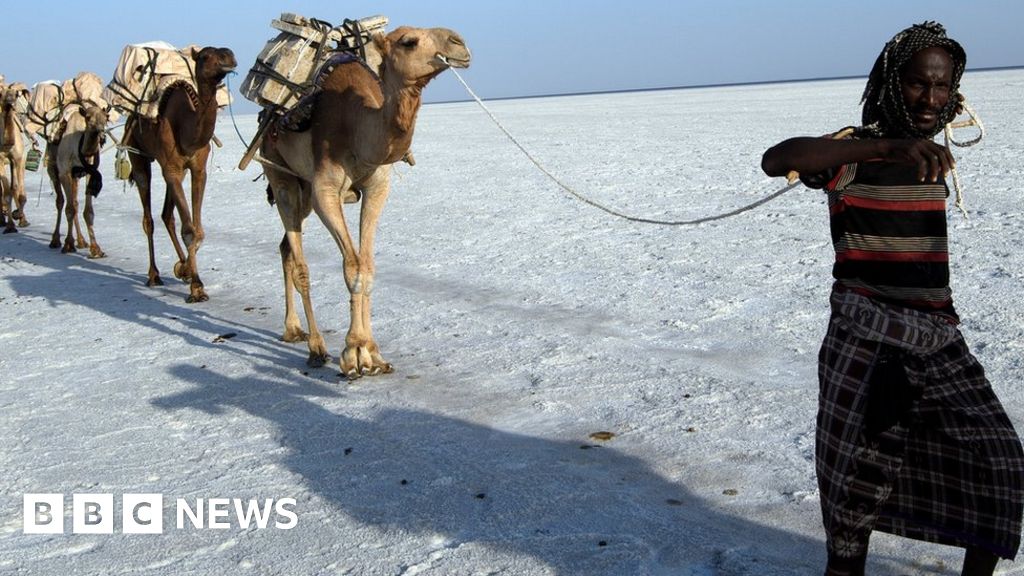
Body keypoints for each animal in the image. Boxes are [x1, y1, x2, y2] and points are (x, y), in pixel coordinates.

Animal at [47, 101, 110, 256]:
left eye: (106, 117)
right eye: (88, 117)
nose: (101, 134)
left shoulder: (89, 172)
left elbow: (88, 211)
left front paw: (96, 249)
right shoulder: (65, 172)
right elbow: (69, 209)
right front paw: (68, 244)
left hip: (75, 177)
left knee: (74, 202)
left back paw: (81, 241)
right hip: (52, 169)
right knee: (61, 201)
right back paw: (55, 240)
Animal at [124, 45, 236, 301]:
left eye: (225, 52)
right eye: (205, 56)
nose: (229, 57)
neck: (187, 128)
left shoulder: (197, 170)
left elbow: (197, 229)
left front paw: (186, 271)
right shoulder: (172, 169)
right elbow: (189, 230)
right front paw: (196, 287)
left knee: (167, 215)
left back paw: (181, 266)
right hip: (138, 154)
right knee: (148, 217)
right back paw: (154, 275)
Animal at [262, 25, 473, 377]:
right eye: (409, 42)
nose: (460, 43)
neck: (359, 127)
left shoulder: (377, 186)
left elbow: (367, 267)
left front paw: (373, 353)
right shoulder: (325, 190)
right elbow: (352, 266)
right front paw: (354, 352)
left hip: (302, 189)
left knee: (286, 249)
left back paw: (293, 330)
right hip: (282, 177)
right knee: (300, 260)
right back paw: (315, 347)